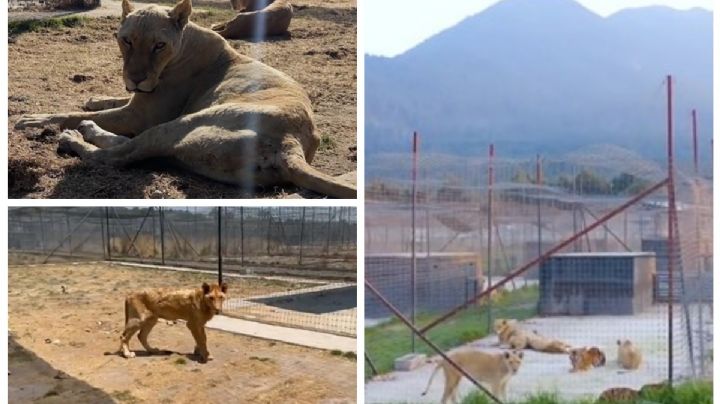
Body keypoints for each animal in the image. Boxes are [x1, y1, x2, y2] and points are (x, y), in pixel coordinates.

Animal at [15, 0, 356, 198]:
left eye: (158, 45)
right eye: (126, 41)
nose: (136, 79)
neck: (184, 42)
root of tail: (291, 146)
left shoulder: (142, 115)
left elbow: (70, 113)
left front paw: (35, 119)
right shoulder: (137, 103)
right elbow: (109, 101)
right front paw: (95, 98)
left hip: (185, 123)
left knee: (117, 156)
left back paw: (75, 136)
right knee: (128, 147)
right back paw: (87, 130)